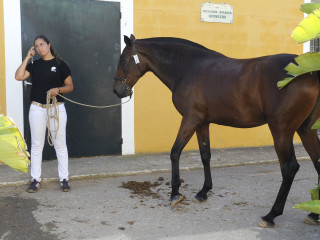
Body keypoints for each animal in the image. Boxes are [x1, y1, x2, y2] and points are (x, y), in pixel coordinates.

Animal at [114, 33, 320, 227]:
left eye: (122, 59)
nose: (117, 90)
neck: (188, 68)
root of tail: (310, 73)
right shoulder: (202, 123)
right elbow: (205, 155)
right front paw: (204, 191)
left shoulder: (190, 119)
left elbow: (175, 152)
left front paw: (175, 194)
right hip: (306, 130)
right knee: (317, 161)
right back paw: (314, 214)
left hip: (281, 131)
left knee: (289, 168)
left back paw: (271, 215)